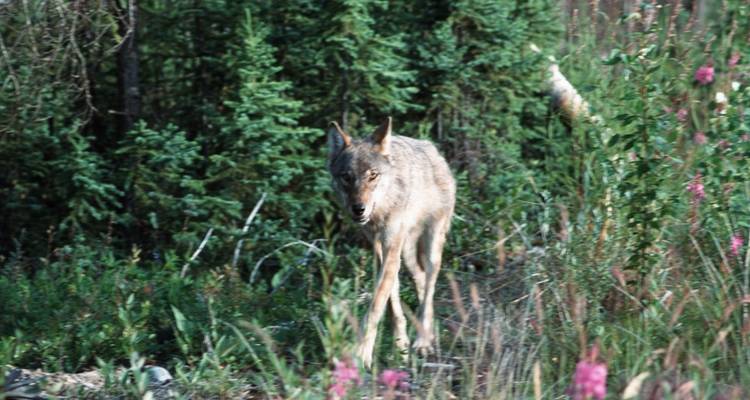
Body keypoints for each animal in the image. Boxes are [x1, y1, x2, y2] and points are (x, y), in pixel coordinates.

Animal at [327, 117, 455, 368]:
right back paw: (423, 336)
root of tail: (435, 151)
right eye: (346, 177)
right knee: (420, 280)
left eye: (373, 175)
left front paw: (361, 354)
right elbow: (391, 301)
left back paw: (423, 341)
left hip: (431, 248)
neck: (381, 210)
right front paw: (400, 343)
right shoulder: (380, 249)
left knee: (430, 287)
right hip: (407, 254)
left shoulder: (391, 248)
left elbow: (376, 306)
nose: (359, 209)